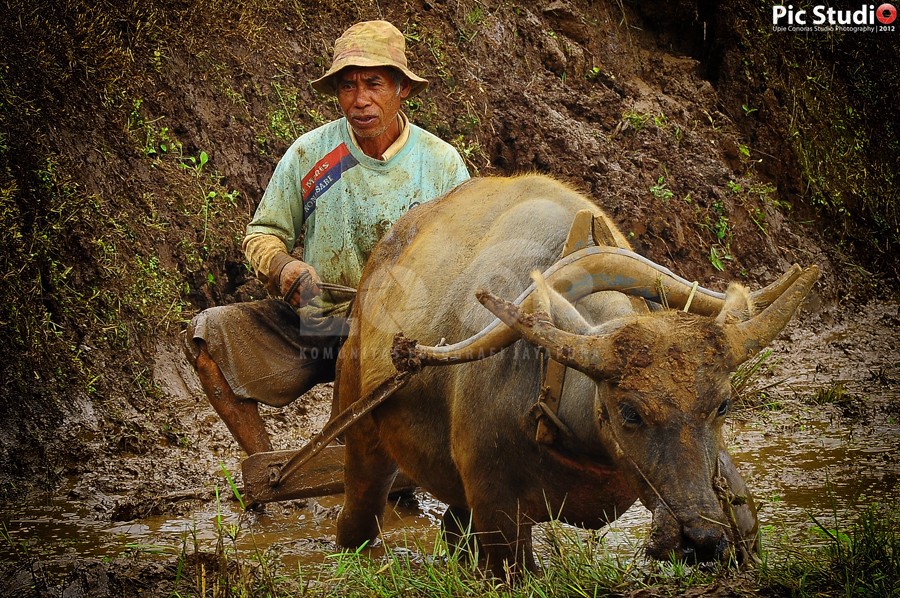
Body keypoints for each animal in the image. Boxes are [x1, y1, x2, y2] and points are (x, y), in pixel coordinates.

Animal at [334, 176, 820, 580]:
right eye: (629, 412)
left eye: (722, 405)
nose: (698, 539)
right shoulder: (497, 512)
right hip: (360, 437)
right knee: (359, 512)